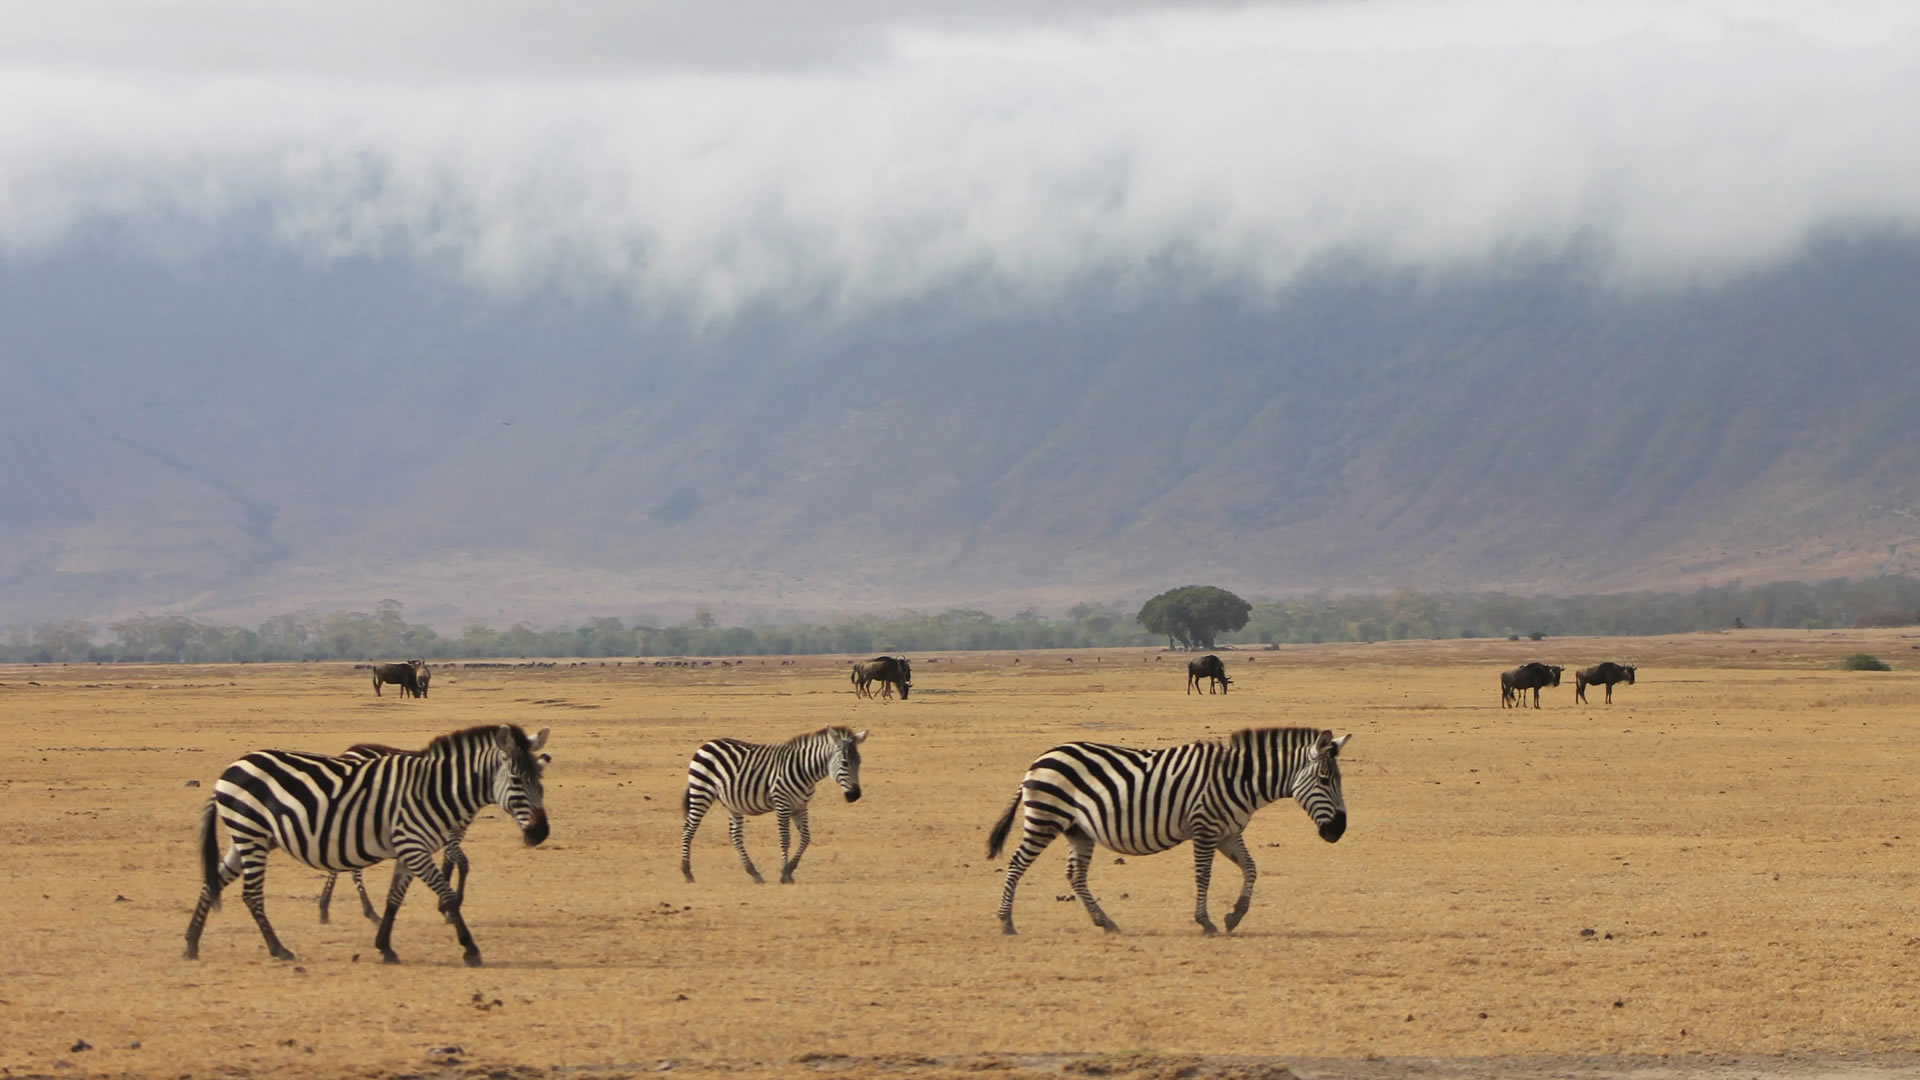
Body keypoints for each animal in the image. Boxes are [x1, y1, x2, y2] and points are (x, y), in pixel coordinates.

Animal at [314, 742, 551, 924]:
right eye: (519, 783)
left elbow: (451, 861)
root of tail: (349, 751)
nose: (537, 832)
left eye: (541, 788)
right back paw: (365, 910)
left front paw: (445, 904)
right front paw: (448, 906)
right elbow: (460, 862)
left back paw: (327, 907)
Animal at [680, 726, 868, 884]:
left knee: (735, 836)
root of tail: (708, 744)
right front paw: (784, 873)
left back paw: (754, 873)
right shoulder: (782, 805)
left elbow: (806, 838)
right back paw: (687, 872)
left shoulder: (800, 806)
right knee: (688, 829)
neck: (805, 770)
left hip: (731, 803)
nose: (855, 795)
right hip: (701, 791)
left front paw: (790, 869)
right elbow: (785, 839)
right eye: (845, 763)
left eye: (860, 762)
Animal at [987, 726, 1350, 935]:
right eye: (1324, 779)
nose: (1339, 830)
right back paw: (1006, 922)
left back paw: (1106, 922)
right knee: (1017, 864)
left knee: (1075, 876)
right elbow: (1203, 875)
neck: (1239, 780)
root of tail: (1039, 760)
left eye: (1337, 779)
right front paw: (1206, 922)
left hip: (1078, 830)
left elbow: (1251, 867)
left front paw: (1235, 915)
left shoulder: (1228, 832)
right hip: (1045, 819)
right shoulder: (1205, 827)